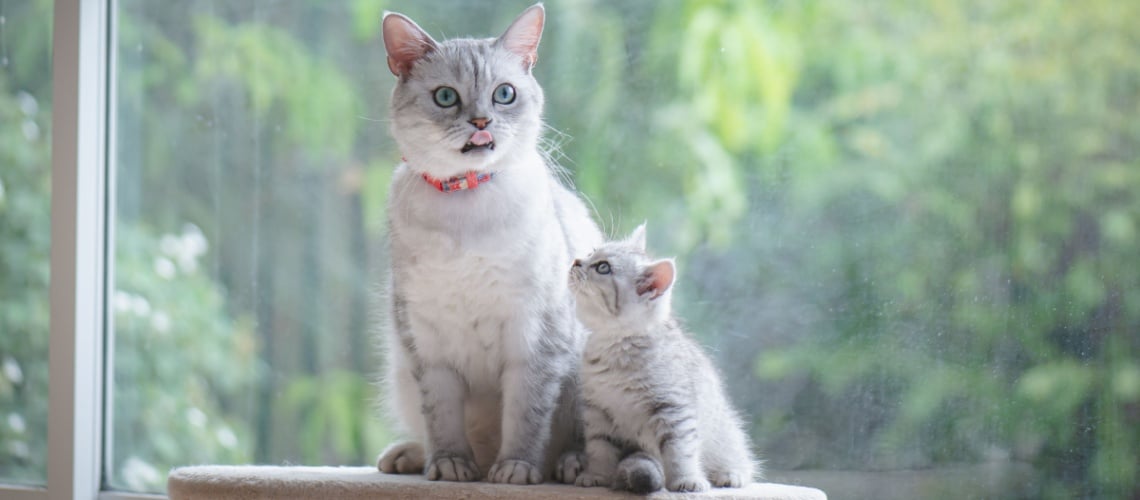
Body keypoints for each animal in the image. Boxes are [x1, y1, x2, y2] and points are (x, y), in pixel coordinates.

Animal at [376, 3, 606, 485]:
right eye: (446, 97)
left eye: (504, 94)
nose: (481, 122)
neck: (465, 204)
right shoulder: (427, 345)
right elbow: (442, 419)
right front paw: (449, 468)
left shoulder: (534, 339)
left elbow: (524, 418)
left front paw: (516, 470)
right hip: (401, 372)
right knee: (438, 437)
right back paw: (411, 458)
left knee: (583, 444)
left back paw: (569, 465)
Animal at [567, 226, 756, 494]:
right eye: (592, 252)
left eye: (603, 267)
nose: (576, 261)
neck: (616, 346)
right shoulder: (598, 410)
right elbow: (599, 447)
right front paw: (596, 475)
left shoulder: (673, 408)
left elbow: (679, 449)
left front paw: (686, 479)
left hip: (725, 432)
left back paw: (730, 473)